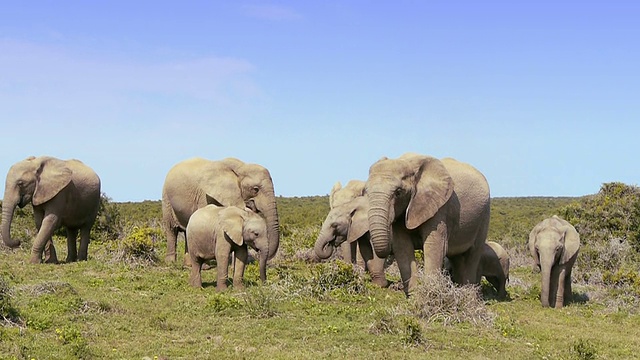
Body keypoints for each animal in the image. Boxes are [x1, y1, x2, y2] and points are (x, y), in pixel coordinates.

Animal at [364, 152, 490, 296]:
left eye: (398, 192)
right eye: (366, 192)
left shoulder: (439, 207)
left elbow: (434, 245)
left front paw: (429, 295)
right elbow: (402, 247)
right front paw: (414, 296)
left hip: (484, 215)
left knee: (473, 254)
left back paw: (469, 295)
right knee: (457, 258)